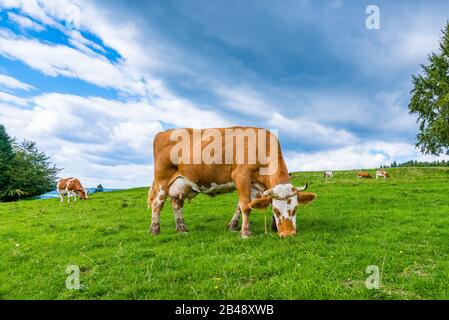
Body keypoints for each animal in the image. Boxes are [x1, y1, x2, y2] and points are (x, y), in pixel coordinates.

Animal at [147, 127, 316, 238]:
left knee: (176, 204)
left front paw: (233, 226)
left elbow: (241, 207)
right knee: (157, 204)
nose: (288, 234)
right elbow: (246, 207)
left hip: (182, 183)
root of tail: (164, 132)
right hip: (162, 179)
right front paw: (246, 233)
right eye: (276, 210)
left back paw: (182, 228)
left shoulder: (254, 184)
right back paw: (155, 230)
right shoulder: (241, 177)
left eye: (295, 208)